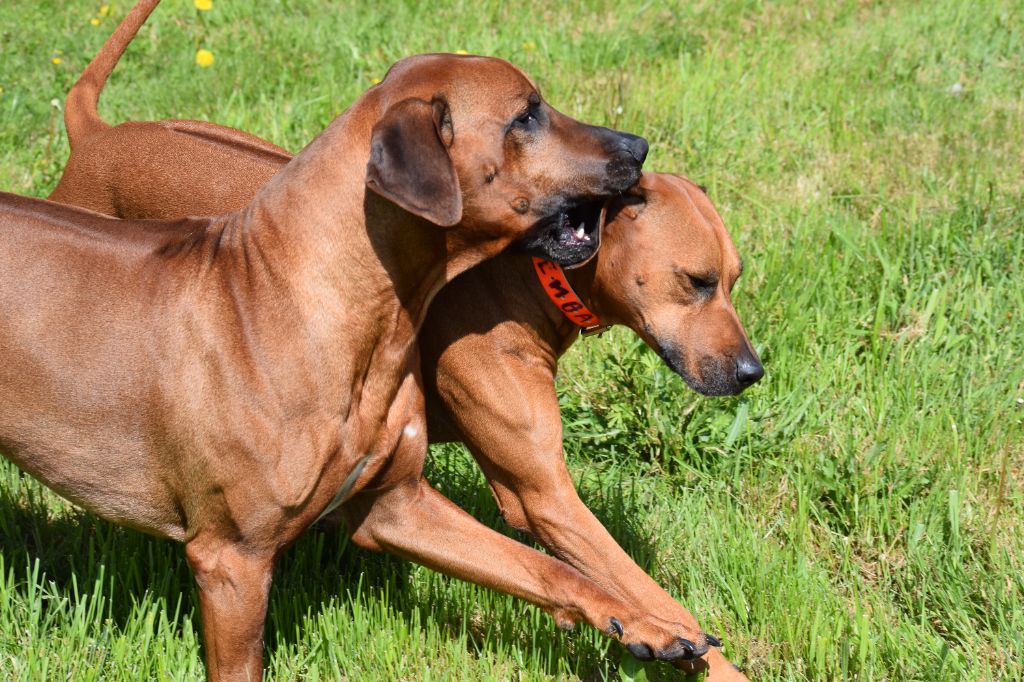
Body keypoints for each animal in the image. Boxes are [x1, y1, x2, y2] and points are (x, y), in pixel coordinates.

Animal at [44, 2, 757, 675]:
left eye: (734, 279)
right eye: (695, 282)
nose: (752, 372)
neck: (517, 275)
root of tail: (95, 133)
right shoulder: (544, 499)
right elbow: (644, 589)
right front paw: (698, 653)